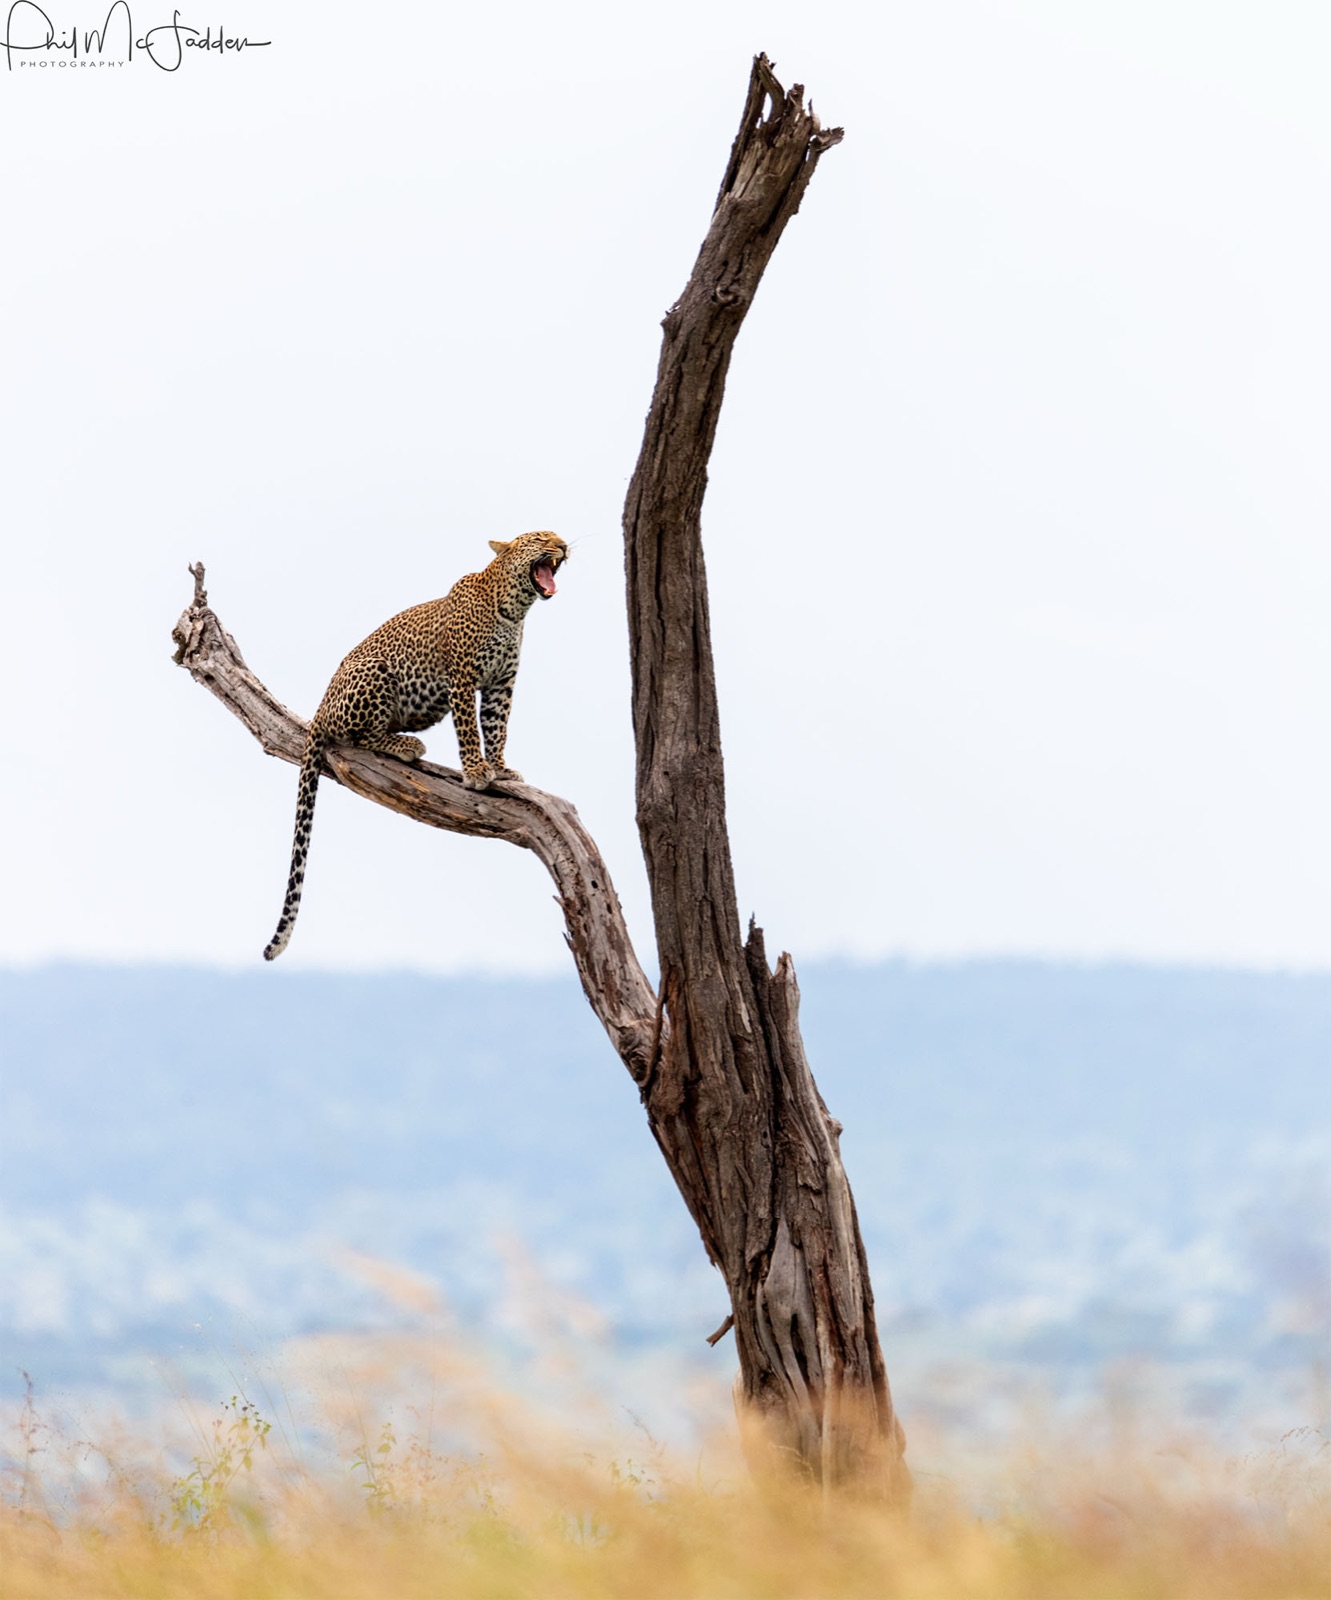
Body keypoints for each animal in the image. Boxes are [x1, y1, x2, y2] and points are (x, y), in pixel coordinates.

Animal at [263, 530, 569, 962]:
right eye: (542, 538)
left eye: (558, 535)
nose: (564, 546)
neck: (514, 610)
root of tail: (320, 708)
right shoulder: (461, 678)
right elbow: (469, 729)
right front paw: (476, 772)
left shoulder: (501, 684)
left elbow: (497, 728)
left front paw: (501, 768)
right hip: (374, 672)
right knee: (361, 737)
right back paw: (405, 744)